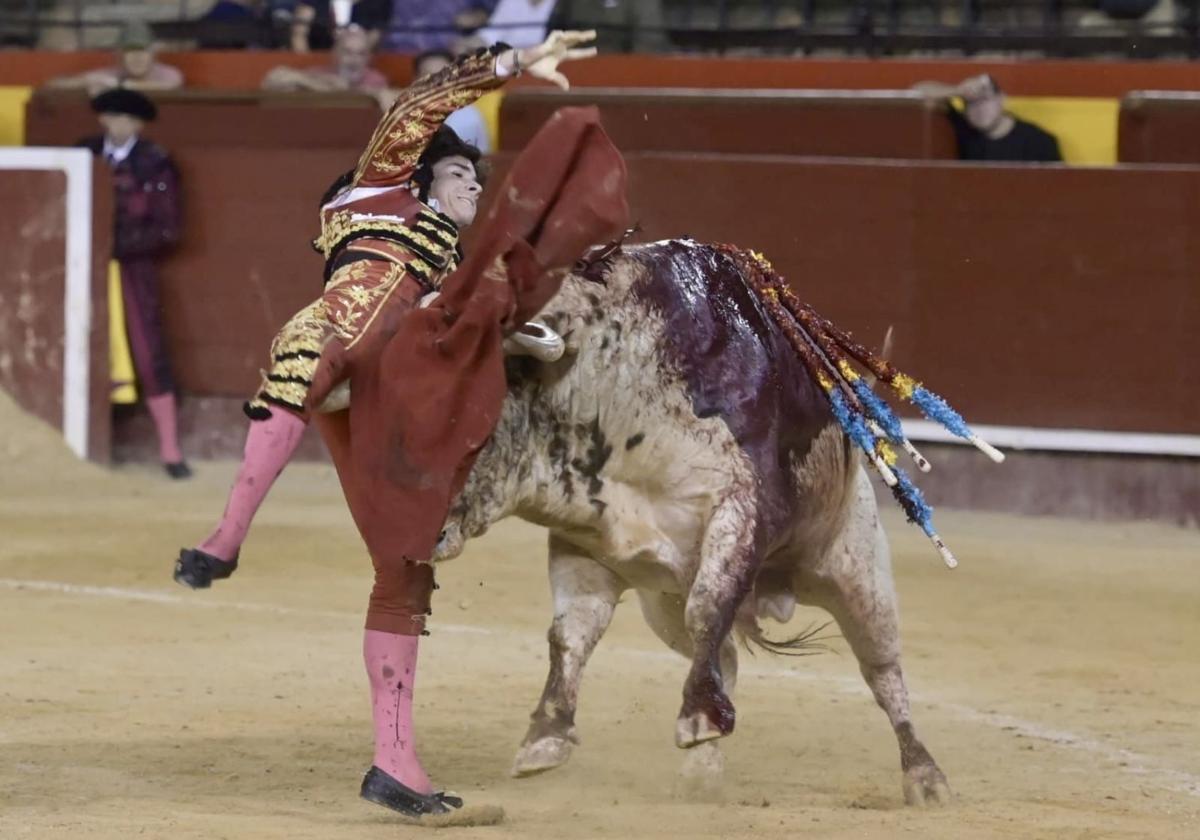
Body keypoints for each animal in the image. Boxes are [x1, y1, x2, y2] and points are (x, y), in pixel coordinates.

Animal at [436, 240, 950, 801]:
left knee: (883, 672)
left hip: (857, 574)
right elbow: (570, 635)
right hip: (662, 604)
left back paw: (925, 776)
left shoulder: (739, 510)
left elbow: (706, 605)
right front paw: (545, 738)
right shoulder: (585, 545)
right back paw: (704, 768)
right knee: (724, 656)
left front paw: (699, 719)